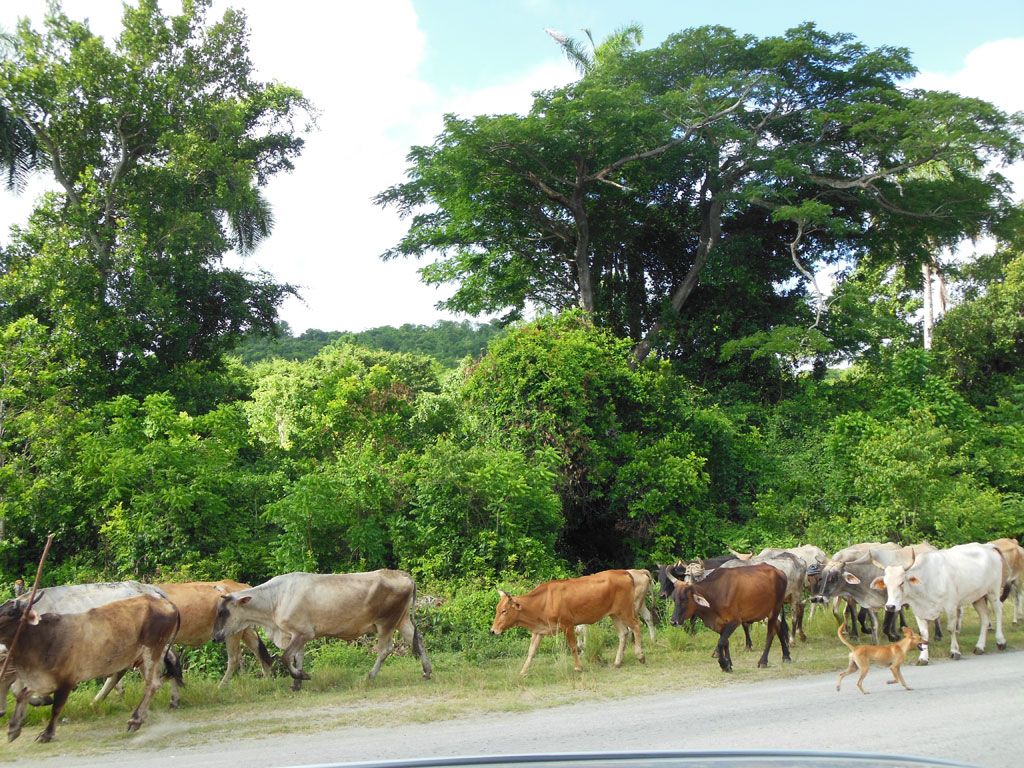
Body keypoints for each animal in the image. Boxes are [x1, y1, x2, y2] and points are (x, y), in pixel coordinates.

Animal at [0, 593, 179, 745]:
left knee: (152, 684)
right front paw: (13, 729)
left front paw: (46, 734)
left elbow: (56, 708)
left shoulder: (66, 682)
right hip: (141, 656)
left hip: (152, 650)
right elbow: (22, 695)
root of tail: (164, 602)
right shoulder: (42, 678)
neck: (42, 638)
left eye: (10, 613)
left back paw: (135, 720)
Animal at [209, 573, 430, 692]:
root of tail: (401, 574)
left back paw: (369, 676)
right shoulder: (295, 634)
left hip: (386, 623)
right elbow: (296, 658)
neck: (274, 600)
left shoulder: (303, 633)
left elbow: (285, 657)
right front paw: (296, 683)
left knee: (385, 650)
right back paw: (427, 671)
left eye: (223, 612)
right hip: (402, 620)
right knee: (418, 639)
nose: (214, 636)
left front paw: (302, 677)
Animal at [489, 569, 647, 675]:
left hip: (625, 611)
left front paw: (578, 667)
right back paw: (617, 662)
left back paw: (640, 656)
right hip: (615, 614)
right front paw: (523, 671)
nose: (493, 631)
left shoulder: (567, 624)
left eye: (504, 611)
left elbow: (573, 647)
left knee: (637, 626)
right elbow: (531, 651)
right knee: (623, 633)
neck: (544, 601)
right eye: (497, 609)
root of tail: (624, 572)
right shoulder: (539, 630)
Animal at [872, 544, 1007, 663]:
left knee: (998, 611)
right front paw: (923, 658)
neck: (926, 583)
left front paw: (954, 651)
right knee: (985, 616)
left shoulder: (951, 607)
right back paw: (979, 646)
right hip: (977, 597)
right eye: (886, 584)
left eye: (901, 582)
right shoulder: (919, 611)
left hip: (993, 591)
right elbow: (924, 634)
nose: (890, 606)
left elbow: (951, 629)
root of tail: (987, 546)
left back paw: (1001, 641)